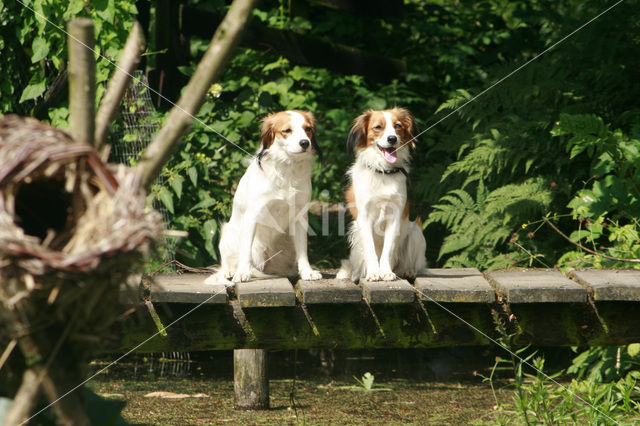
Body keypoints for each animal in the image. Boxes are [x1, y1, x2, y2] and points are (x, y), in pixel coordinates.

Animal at [206, 110, 322, 282]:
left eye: (308, 129)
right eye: (287, 130)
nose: (305, 143)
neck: (286, 170)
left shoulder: (300, 216)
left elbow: (302, 249)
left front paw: (307, 272)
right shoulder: (253, 215)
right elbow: (245, 250)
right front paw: (242, 272)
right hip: (228, 234)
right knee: (227, 263)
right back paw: (229, 271)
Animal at [338, 106, 428, 282]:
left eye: (398, 126)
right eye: (378, 127)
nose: (392, 139)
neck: (383, 172)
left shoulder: (395, 218)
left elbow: (388, 249)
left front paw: (385, 272)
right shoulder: (364, 218)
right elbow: (371, 250)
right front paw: (373, 272)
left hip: (415, 232)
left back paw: (407, 271)